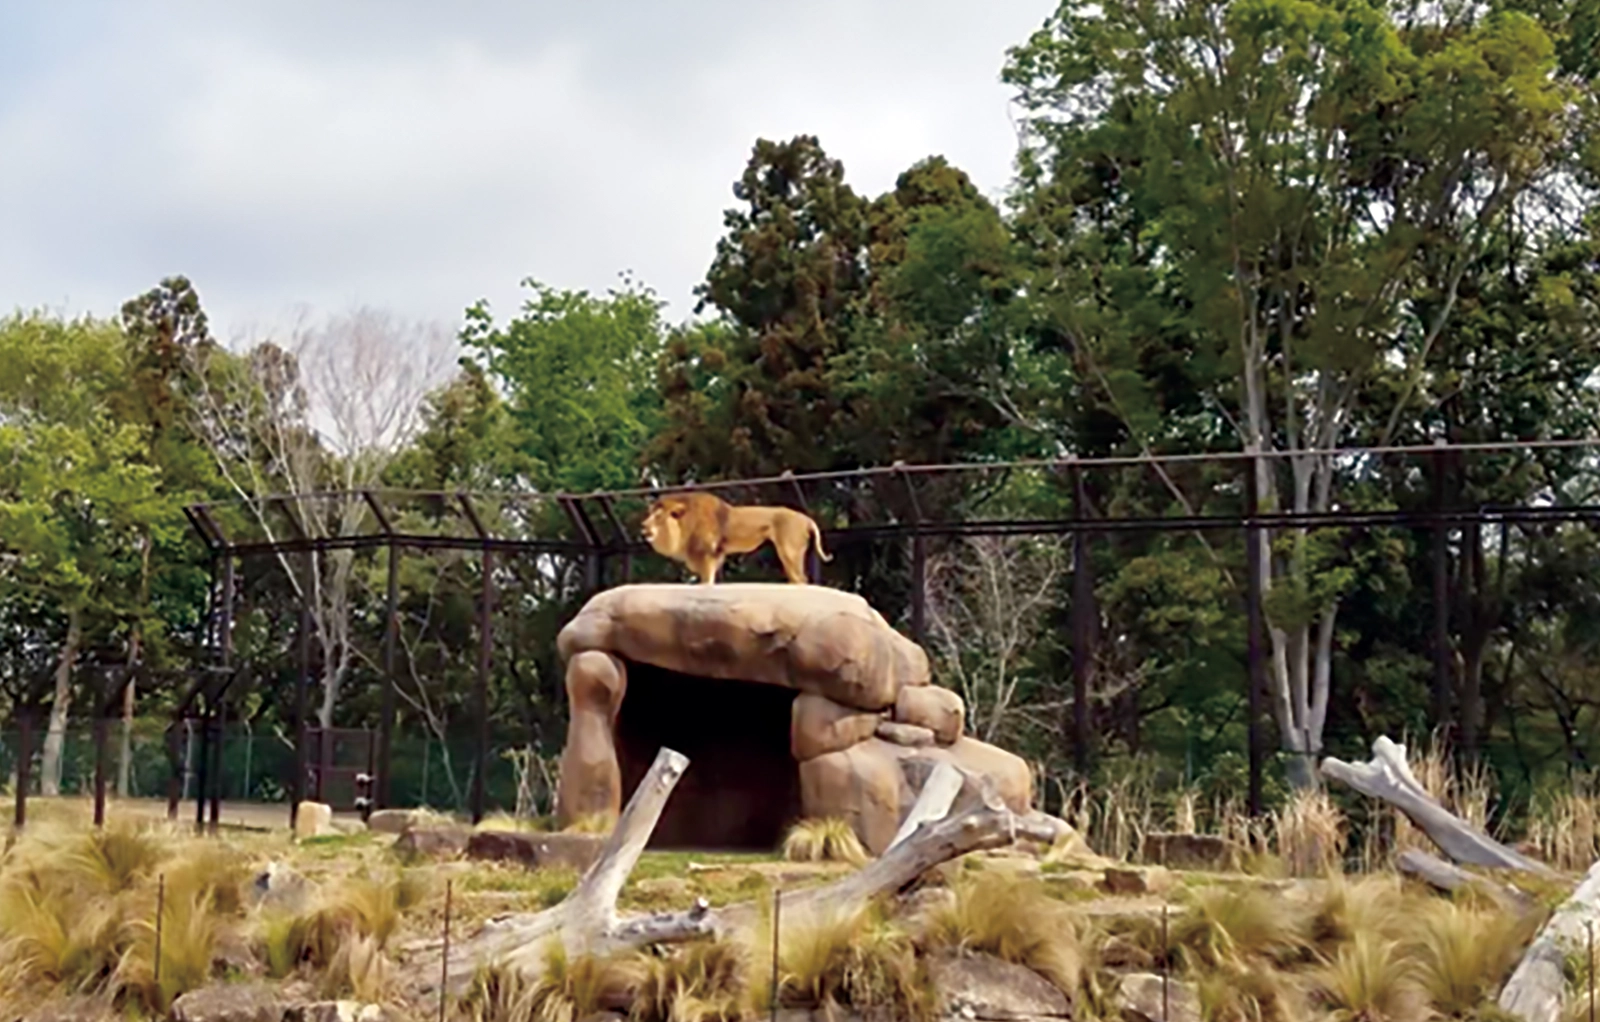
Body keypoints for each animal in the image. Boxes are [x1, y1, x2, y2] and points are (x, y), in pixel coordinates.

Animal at [640, 491, 833, 585]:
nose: (643, 526)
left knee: (802, 580)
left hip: (790, 552)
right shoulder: (714, 556)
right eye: (649, 514)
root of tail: (807, 519)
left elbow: (706, 582)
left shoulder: (707, 555)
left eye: (658, 516)